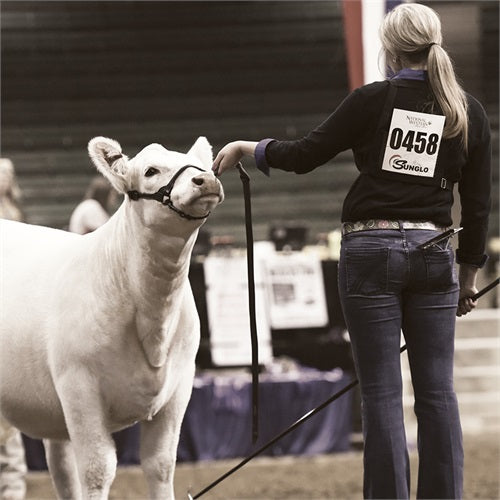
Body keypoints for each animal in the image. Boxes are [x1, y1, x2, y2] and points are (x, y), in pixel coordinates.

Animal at [0, 137, 224, 500]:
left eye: (205, 167)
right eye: (150, 171)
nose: (204, 181)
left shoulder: (179, 390)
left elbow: (161, 465)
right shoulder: (79, 387)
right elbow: (97, 470)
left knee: (61, 468)